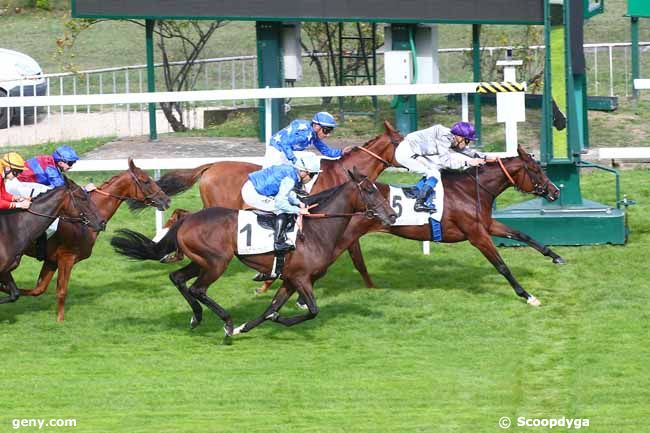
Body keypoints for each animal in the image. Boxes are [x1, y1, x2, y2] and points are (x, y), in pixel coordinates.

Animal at [16, 159, 171, 320]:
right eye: (146, 181)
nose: (166, 200)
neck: (84, 221)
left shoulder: (51, 260)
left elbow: (38, 289)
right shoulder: (67, 258)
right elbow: (62, 291)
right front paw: (60, 320)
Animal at [110, 167, 394, 336]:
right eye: (369, 190)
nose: (391, 214)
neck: (316, 230)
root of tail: (188, 219)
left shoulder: (290, 279)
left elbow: (271, 308)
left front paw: (249, 326)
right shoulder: (301, 278)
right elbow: (312, 310)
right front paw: (273, 321)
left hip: (201, 260)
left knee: (178, 278)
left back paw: (197, 317)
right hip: (217, 262)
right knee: (197, 289)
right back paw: (226, 322)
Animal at [143, 118, 400, 288]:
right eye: (402, 142)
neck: (341, 173)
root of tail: (210, 166)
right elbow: (358, 259)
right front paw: (373, 288)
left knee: (182, 213)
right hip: (219, 208)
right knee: (183, 214)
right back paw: (168, 250)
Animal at [326, 147, 560, 306]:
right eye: (536, 170)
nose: (555, 191)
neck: (470, 190)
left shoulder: (487, 225)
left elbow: (522, 234)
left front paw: (555, 256)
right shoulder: (477, 235)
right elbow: (502, 266)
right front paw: (528, 296)